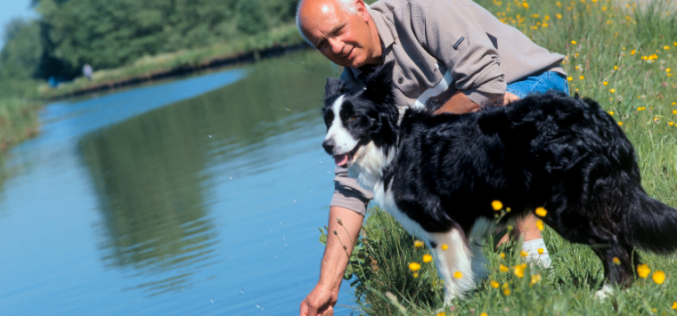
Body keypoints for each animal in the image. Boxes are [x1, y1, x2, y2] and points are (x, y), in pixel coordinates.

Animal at [320, 61, 676, 302]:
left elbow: (450, 270)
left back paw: (608, 292)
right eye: (328, 119)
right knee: (624, 240)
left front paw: (451, 305)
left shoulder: (438, 222)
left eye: (353, 118)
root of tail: (598, 118)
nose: (326, 146)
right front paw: (476, 295)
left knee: (613, 242)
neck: (392, 142)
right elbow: (471, 262)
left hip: (568, 208)